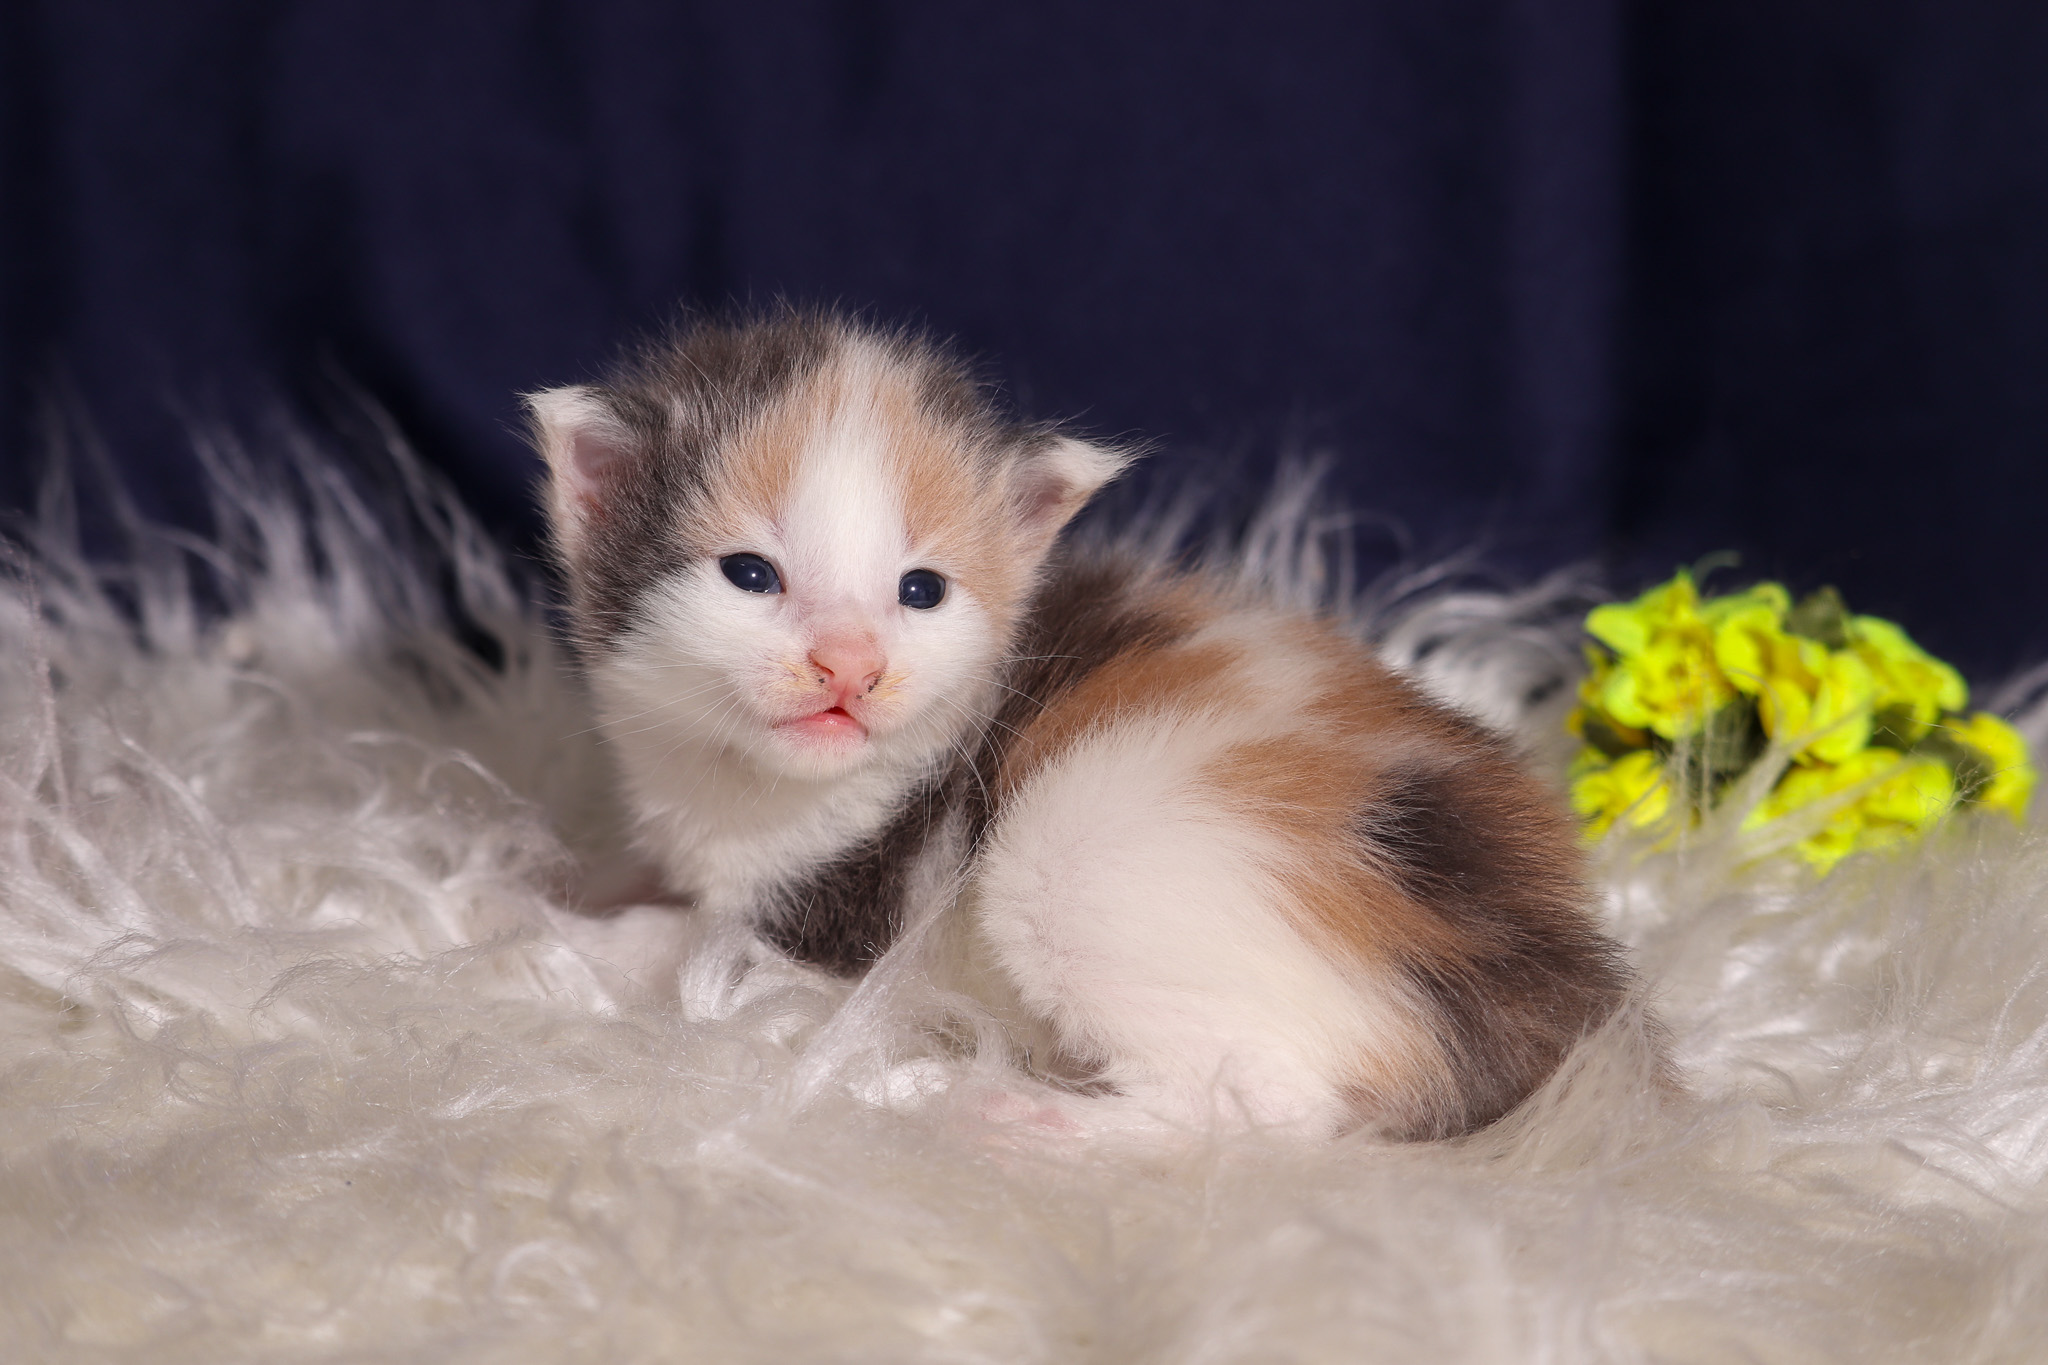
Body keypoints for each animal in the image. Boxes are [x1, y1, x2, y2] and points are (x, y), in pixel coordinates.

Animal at [526, 309, 1644, 1139]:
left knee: (1268, 1104)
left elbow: (692, 946)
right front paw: (573, 878)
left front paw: (556, 934)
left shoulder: (837, 922)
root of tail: (1542, 962)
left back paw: (1021, 1114)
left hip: (1080, 855)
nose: (851, 666)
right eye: (749, 575)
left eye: (920, 591)